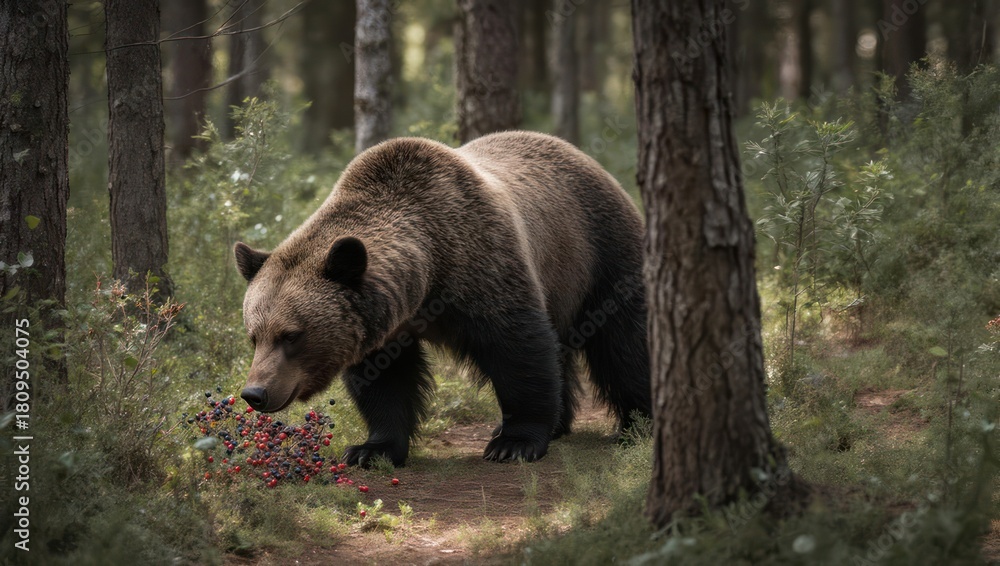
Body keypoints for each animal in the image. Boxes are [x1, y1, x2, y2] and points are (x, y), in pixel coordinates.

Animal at [234, 130, 650, 466]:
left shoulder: (483, 265)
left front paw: (514, 442)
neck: (428, 273)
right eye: (254, 336)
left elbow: (519, 350)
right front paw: (372, 449)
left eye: (291, 335)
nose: (255, 392)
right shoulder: (384, 325)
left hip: (598, 252)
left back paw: (637, 422)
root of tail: (584, 156)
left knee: (624, 343)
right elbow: (385, 382)